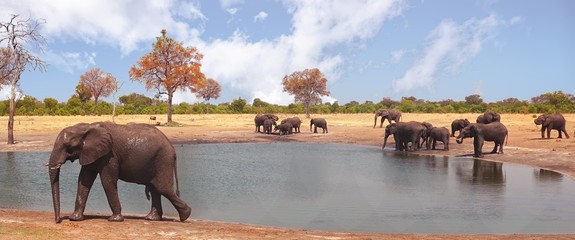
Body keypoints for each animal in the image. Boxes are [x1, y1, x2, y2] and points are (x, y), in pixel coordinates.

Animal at [47, 123, 191, 224]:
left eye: (68, 147)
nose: (58, 220)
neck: (85, 127)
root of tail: (172, 147)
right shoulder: (90, 153)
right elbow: (84, 180)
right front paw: (75, 218)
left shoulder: (110, 155)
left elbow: (107, 181)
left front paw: (114, 220)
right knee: (156, 188)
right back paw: (152, 218)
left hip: (163, 159)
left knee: (163, 187)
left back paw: (185, 216)